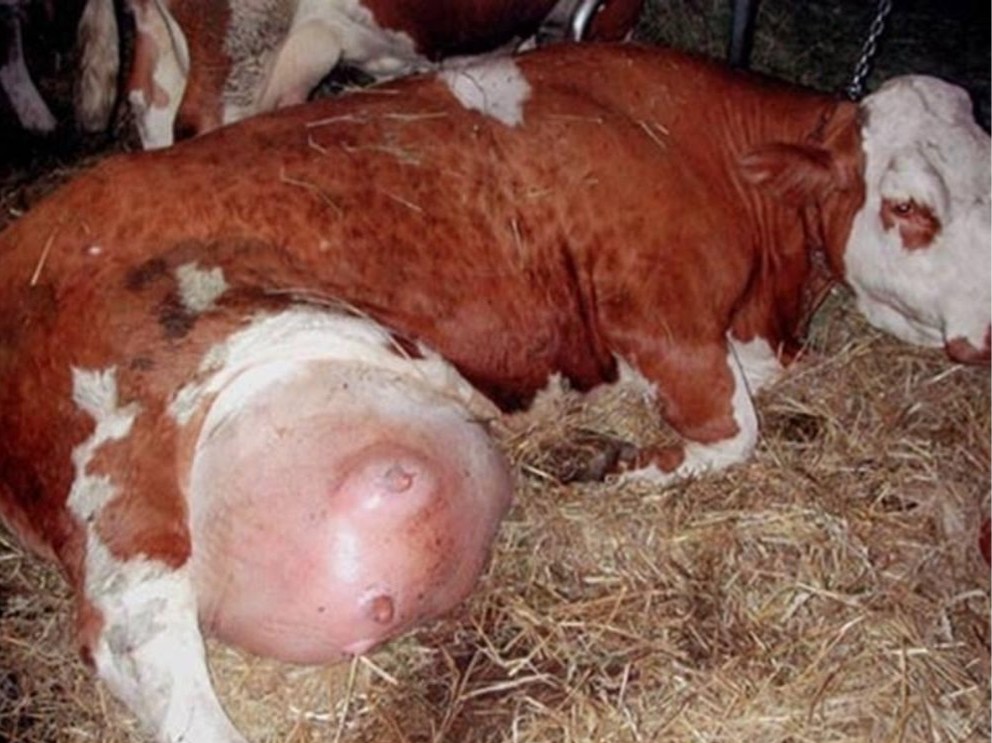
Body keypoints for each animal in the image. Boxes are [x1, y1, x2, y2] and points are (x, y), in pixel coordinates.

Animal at [1, 41, 989, 743]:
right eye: (907, 206)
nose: (986, 325)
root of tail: (27, 242)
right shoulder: (659, 316)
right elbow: (732, 431)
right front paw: (622, 466)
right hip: (123, 447)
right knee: (141, 633)